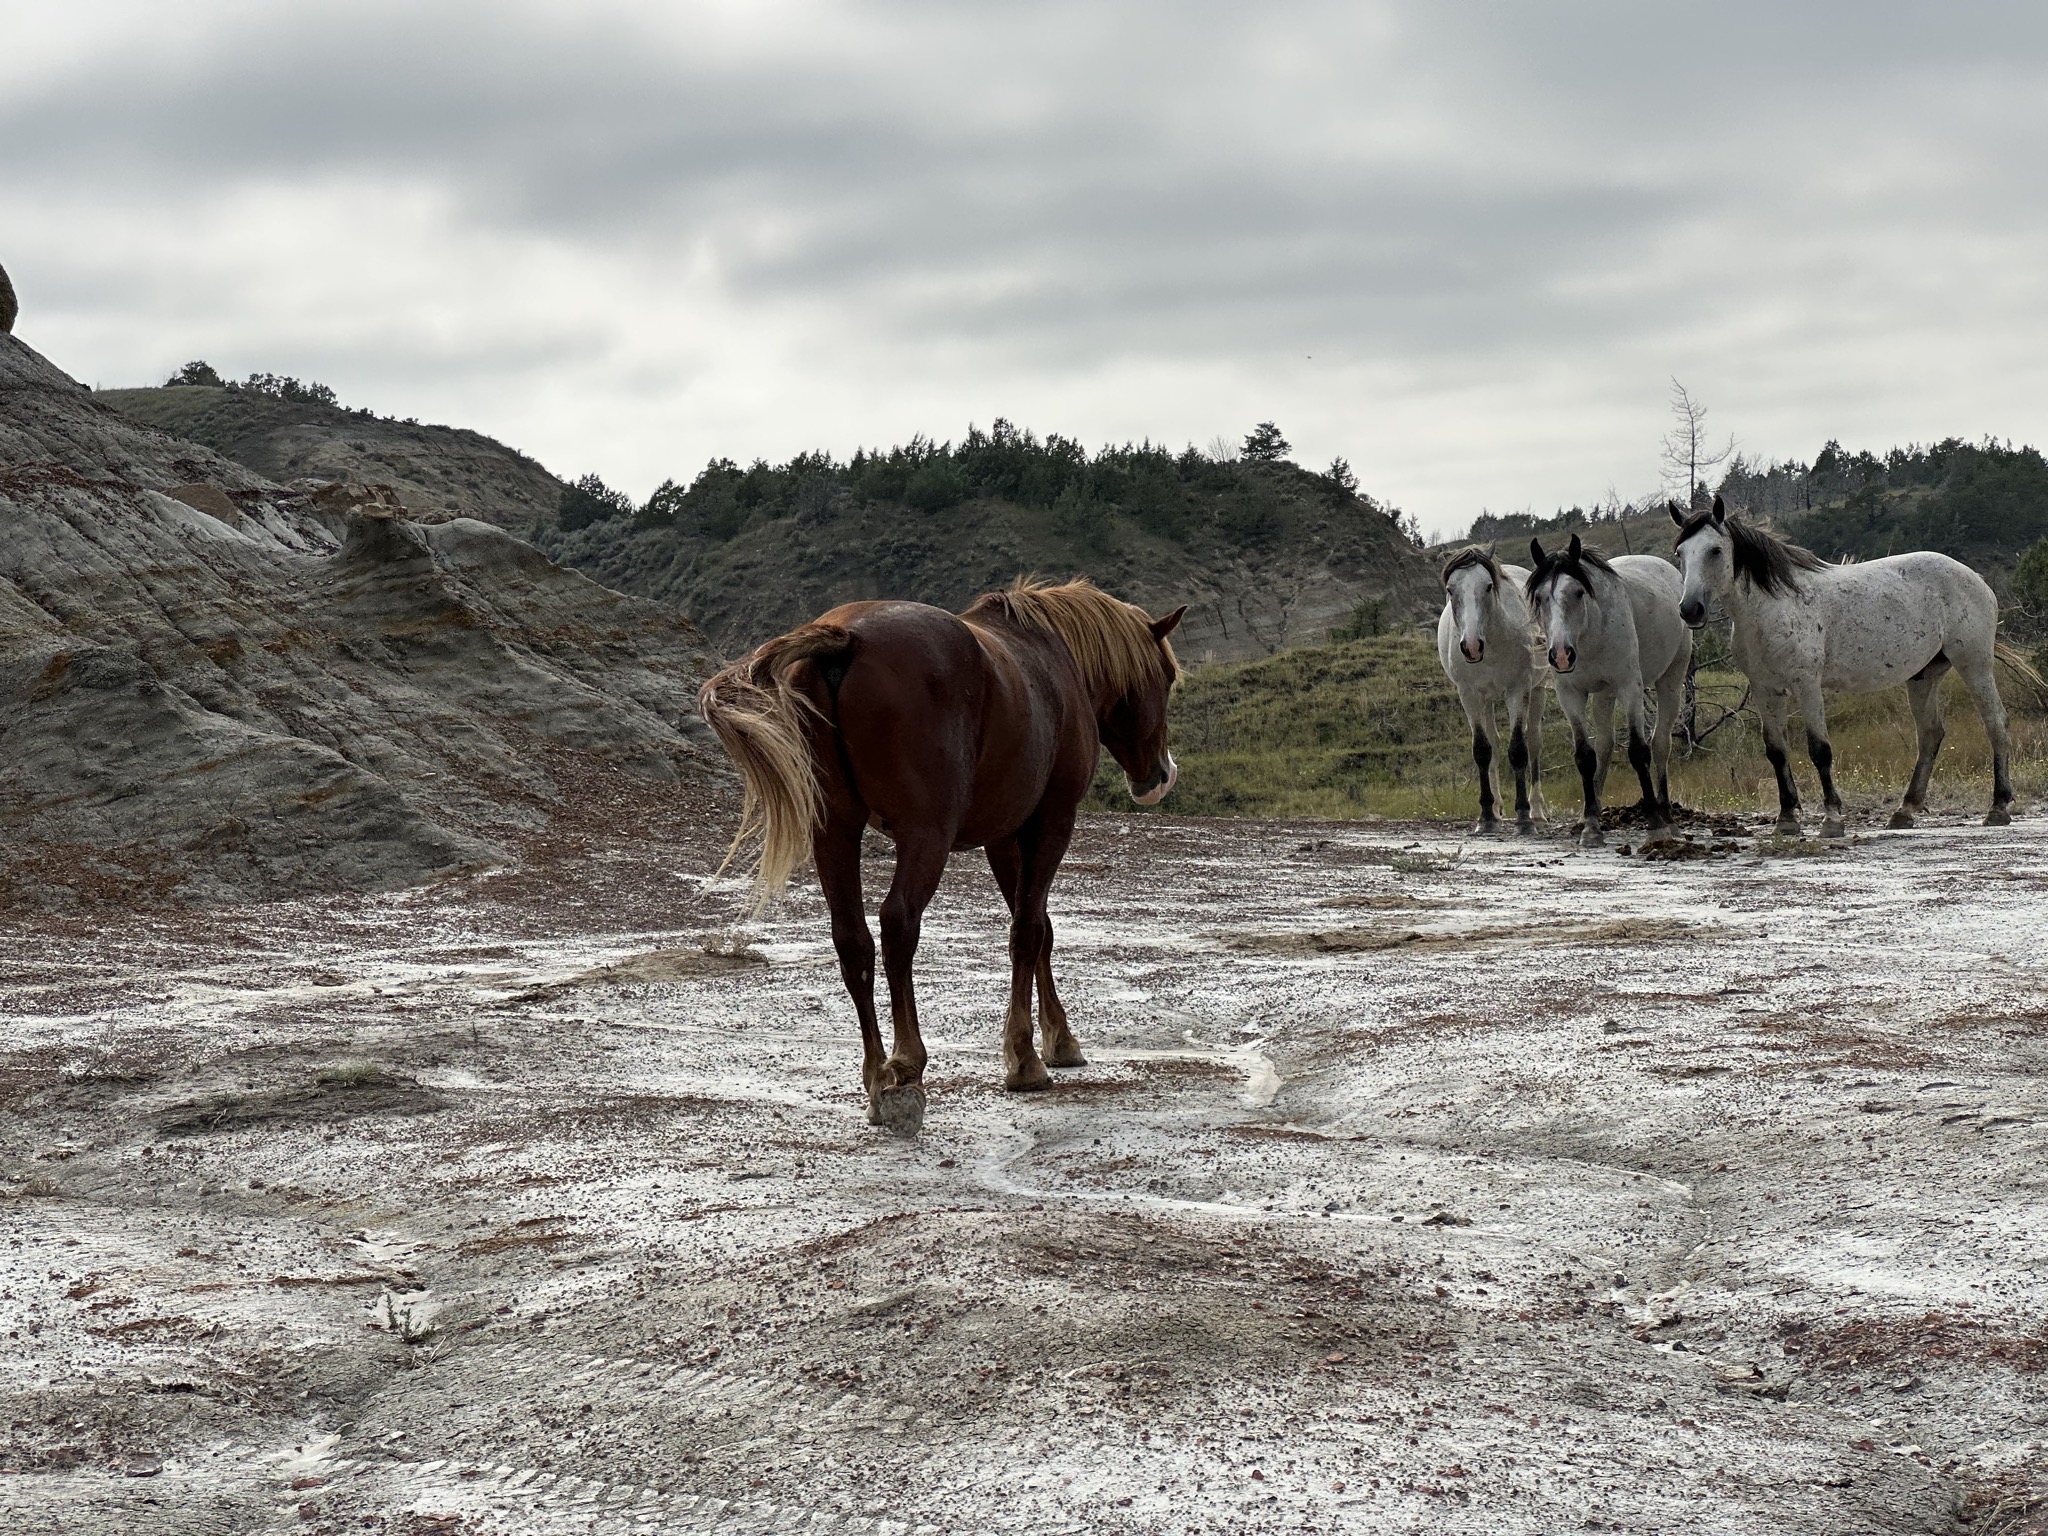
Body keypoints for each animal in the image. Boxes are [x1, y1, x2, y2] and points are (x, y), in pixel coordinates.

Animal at [696, 577, 1185, 1135]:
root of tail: (845, 639)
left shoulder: (1004, 838)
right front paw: (1024, 1058)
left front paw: (1058, 1038)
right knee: (897, 924)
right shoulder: (1051, 823)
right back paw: (907, 1067)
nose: (1161, 776)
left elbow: (1037, 927)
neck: (1051, 661)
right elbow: (1028, 932)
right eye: (1168, 676)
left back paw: (876, 1076)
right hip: (925, 836)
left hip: (835, 833)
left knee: (853, 940)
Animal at [1436, 546, 1548, 833]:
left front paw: (1523, 816)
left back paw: (1537, 811)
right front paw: (1486, 815)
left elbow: (1518, 749)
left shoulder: (1517, 690)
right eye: (1451, 589)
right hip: (1486, 701)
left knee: (1534, 742)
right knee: (1495, 745)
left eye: (1487, 586)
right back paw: (1497, 810)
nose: (1471, 646)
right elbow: (1483, 750)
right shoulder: (1469, 695)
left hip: (1537, 689)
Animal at [1525, 534, 1692, 846]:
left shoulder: (1630, 688)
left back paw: (1668, 818)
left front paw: (1655, 825)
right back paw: (1588, 817)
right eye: (1540, 598)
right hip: (1604, 695)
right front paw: (1591, 826)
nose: (1561, 655)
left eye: (1579, 592)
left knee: (1660, 744)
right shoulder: (1571, 695)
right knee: (1605, 744)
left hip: (1671, 682)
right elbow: (1585, 756)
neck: (1590, 633)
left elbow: (1639, 752)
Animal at [1671, 496, 2032, 835]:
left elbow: (1819, 750)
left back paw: (1998, 807)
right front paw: (1786, 818)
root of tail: (1976, 578)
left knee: (1995, 722)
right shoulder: (1765, 688)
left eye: (1715, 550)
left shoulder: (1806, 685)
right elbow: (1776, 750)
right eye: (1680, 553)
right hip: (1923, 676)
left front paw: (1832, 819)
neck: (1774, 606)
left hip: (1974, 664)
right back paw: (1904, 811)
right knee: (1930, 734)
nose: (1690, 610)